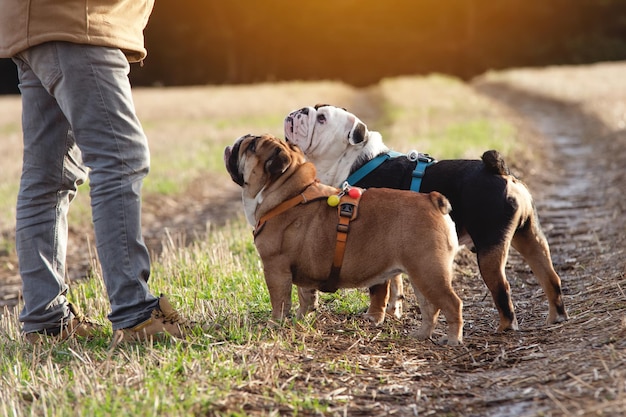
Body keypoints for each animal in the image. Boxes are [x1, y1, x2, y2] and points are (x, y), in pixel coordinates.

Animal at [222, 133, 460, 344]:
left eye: (252, 146)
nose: (242, 138)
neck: (287, 194)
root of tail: (432, 200)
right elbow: (306, 298)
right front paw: (301, 320)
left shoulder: (275, 269)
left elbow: (279, 301)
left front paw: (274, 325)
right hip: (421, 275)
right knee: (430, 308)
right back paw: (422, 335)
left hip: (429, 272)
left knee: (452, 304)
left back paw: (453, 339)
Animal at [286, 104, 568, 332]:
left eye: (322, 118)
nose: (300, 111)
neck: (353, 161)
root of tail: (500, 172)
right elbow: (395, 282)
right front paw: (393, 311)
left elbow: (379, 288)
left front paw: (373, 318)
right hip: (529, 236)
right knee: (549, 276)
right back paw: (556, 317)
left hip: (490, 248)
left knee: (503, 288)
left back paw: (505, 327)